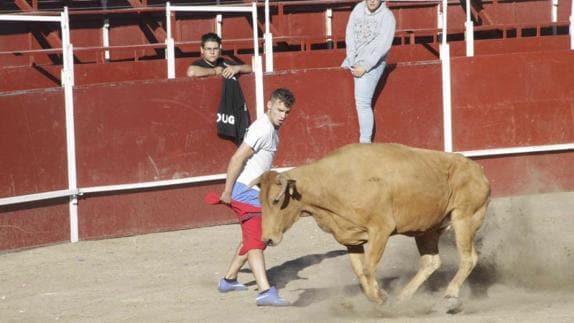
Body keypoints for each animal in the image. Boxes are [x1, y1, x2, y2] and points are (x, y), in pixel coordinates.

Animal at [258, 143, 492, 312]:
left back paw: (450, 296)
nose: (267, 239)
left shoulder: (381, 229)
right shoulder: (350, 239)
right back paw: (403, 297)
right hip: (426, 230)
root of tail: (478, 170)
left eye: (276, 200)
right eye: (260, 201)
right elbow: (360, 272)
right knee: (431, 262)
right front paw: (380, 296)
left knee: (468, 258)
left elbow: (368, 268)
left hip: (464, 218)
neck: (333, 183)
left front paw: (380, 296)